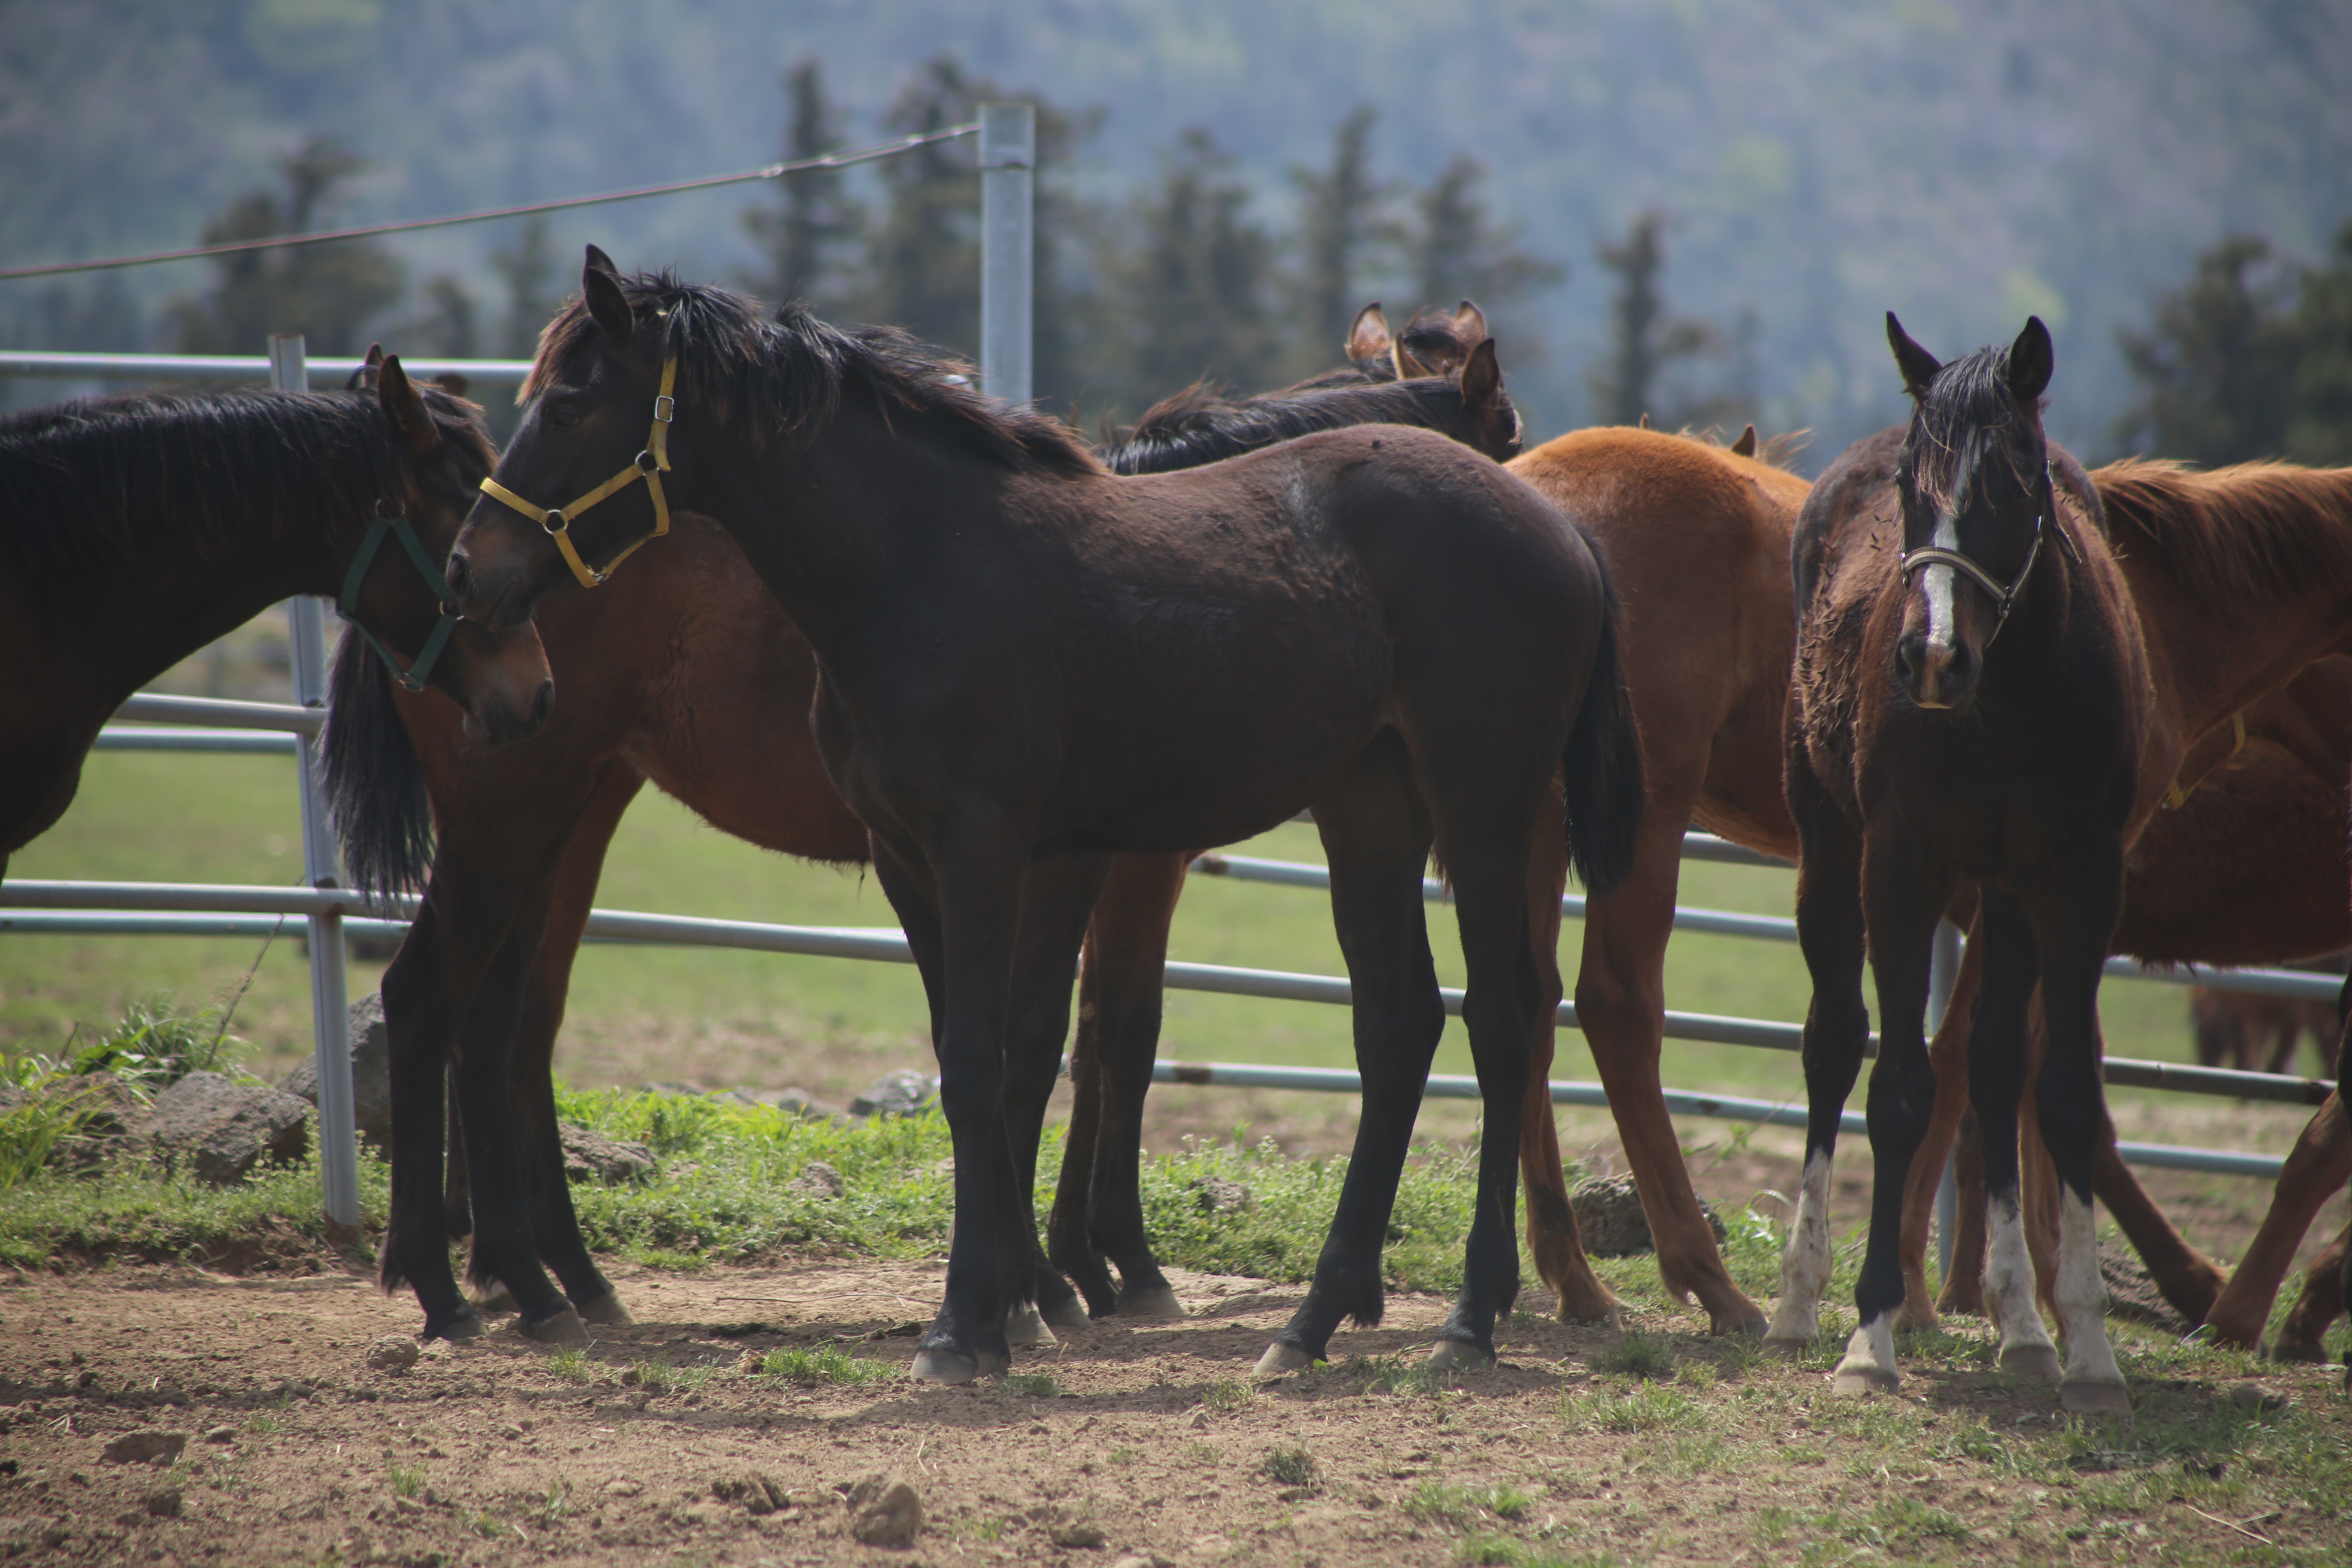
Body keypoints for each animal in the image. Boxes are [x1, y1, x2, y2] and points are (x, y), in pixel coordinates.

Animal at [444, 257, 1656, 1382]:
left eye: (569, 405)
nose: (470, 573)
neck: (922, 565)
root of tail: (1556, 527)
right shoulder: (918, 858)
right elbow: (988, 1059)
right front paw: (1010, 1305)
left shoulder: (999, 848)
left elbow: (1001, 1059)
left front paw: (977, 1322)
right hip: (1369, 804)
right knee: (1400, 1023)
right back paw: (1311, 1323)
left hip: (1481, 802)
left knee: (1502, 1019)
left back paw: (1466, 1317)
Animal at [1778, 319, 2154, 1410]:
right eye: (1913, 483)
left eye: (2014, 484)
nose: (1930, 657)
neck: (2008, 701)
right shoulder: (1897, 867)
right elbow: (1898, 1089)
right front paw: (1867, 1335)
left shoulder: (2077, 879)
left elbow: (2058, 1091)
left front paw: (2084, 1341)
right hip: (1829, 850)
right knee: (1831, 1043)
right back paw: (1795, 1295)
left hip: (2002, 896)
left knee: (1992, 1068)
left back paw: (2020, 1326)